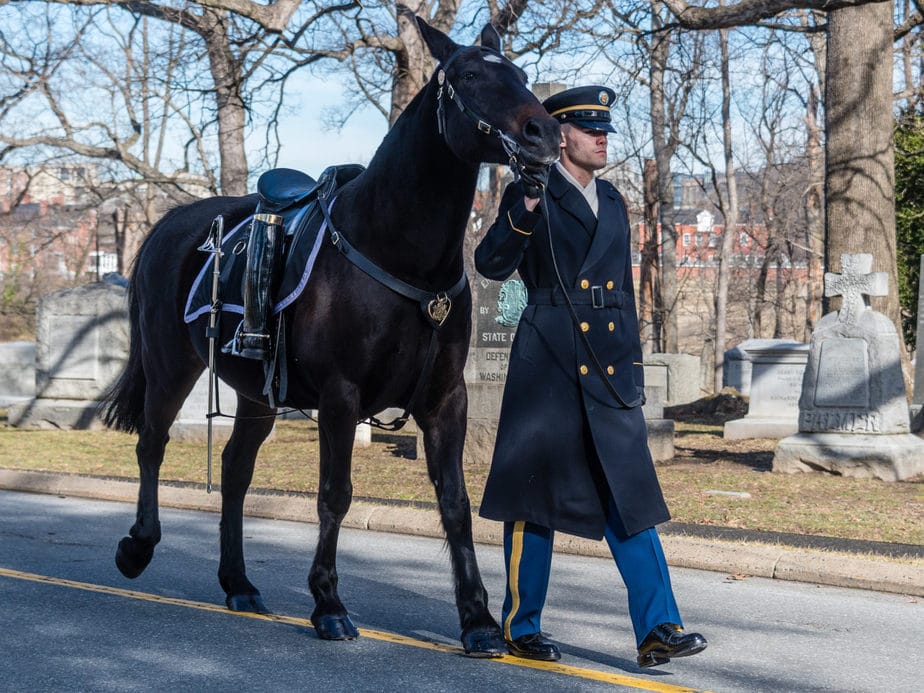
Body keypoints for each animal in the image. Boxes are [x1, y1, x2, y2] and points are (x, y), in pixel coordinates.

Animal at [104, 16, 560, 656]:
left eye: (519, 73)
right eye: (470, 75)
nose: (545, 135)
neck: (399, 250)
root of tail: (169, 224)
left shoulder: (447, 399)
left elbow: (455, 502)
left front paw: (477, 619)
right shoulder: (342, 397)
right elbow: (335, 494)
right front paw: (329, 604)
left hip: (255, 393)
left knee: (235, 470)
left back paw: (238, 583)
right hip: (171, 365)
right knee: (152, 445)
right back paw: (138, 546)